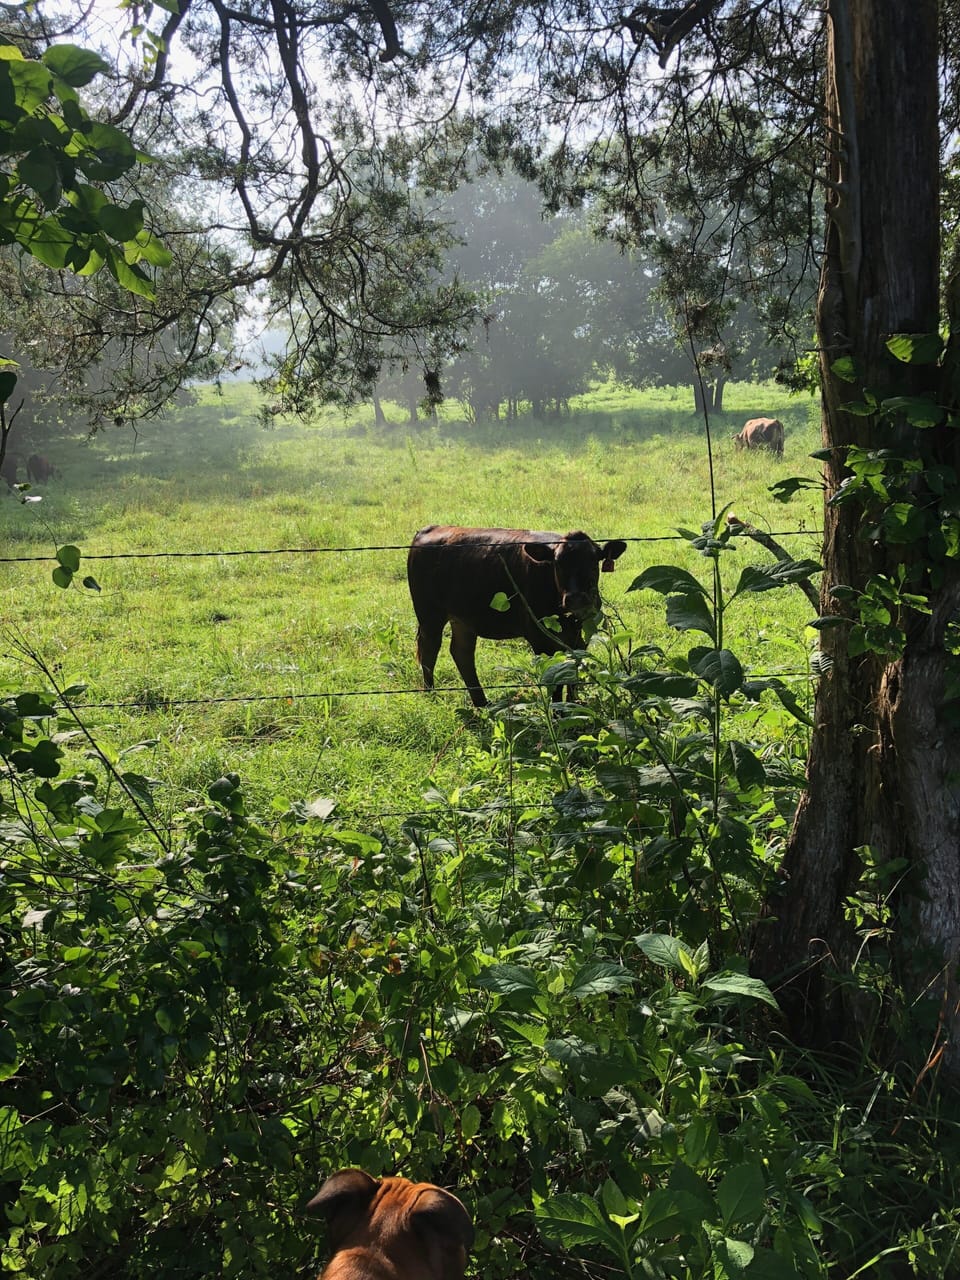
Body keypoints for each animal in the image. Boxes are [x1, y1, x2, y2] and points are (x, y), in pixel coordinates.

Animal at [407, 525, 628, 708]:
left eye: (594, 562)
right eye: (557, 564)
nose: (576, 598)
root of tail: (430, 529)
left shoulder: (579, 636)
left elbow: (573, 670)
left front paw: (574, 705)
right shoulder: (539, 637)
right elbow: (555, 676)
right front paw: (559, 711)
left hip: (462, 618)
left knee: (461, 652)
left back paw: (482, 702)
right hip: (429, 614)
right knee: (430, 649)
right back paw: (430, 694)